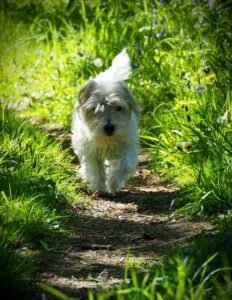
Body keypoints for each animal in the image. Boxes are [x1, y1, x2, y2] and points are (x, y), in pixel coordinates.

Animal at [71, 48, 140, 195]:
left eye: (118, 108)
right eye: (95, 109)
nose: (109, 127)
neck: (107, 140)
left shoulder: (128, 146)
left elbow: (124, 164)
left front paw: (113, 183)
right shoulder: (91, 152)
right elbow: (96, 169)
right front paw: (99, 187)